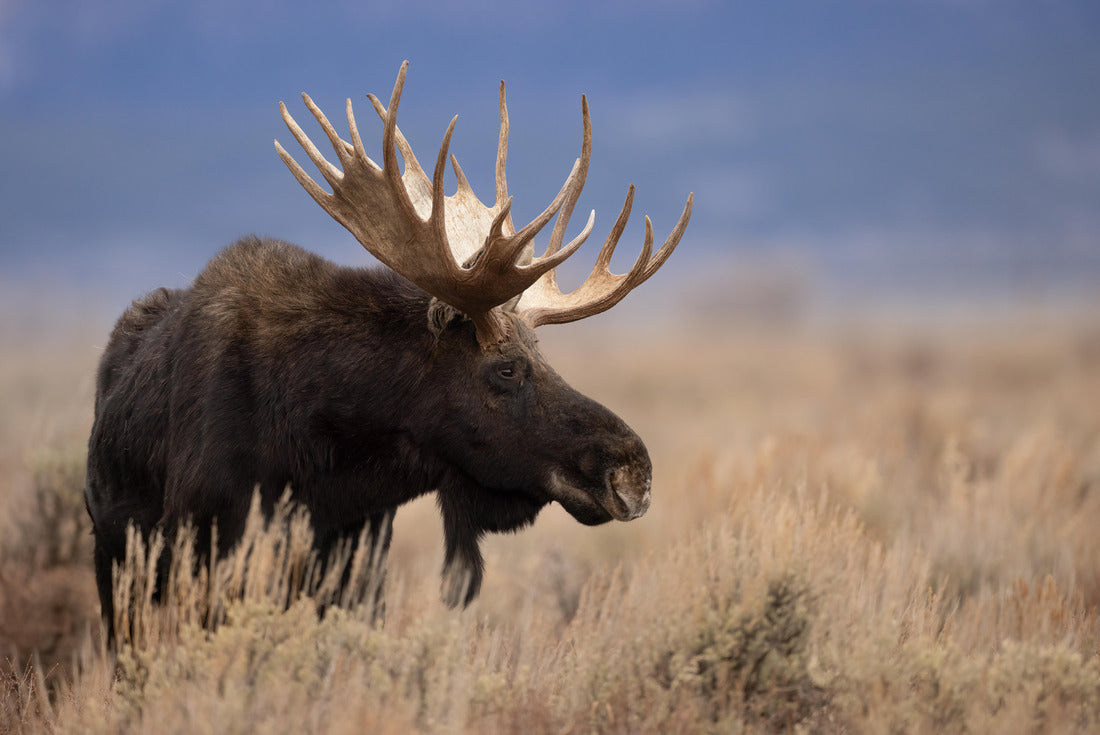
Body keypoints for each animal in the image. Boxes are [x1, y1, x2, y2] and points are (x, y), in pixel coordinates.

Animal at [84, 61, 692, 639]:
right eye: (505, 370)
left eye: (543, 357)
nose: (633, 471)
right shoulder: (209, 555)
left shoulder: (361, 566)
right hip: (118, 573)